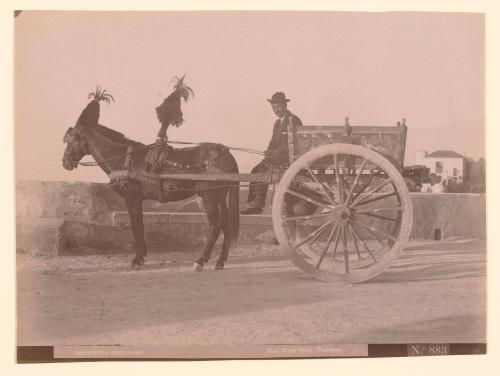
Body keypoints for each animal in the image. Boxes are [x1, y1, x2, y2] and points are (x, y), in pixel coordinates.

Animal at [61, 97, 239, 270]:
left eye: (71, 140)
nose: (65, 162)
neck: (124, 159)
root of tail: (226, 153)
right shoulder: (138, 199)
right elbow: (140, 225)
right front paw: (141, 256)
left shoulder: (131, 197)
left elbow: (135, 226)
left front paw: (137, 259)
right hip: (220, 196)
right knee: (226, 224)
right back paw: (220, 261)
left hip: (210, 196)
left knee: (215, 226)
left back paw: (200, 261)